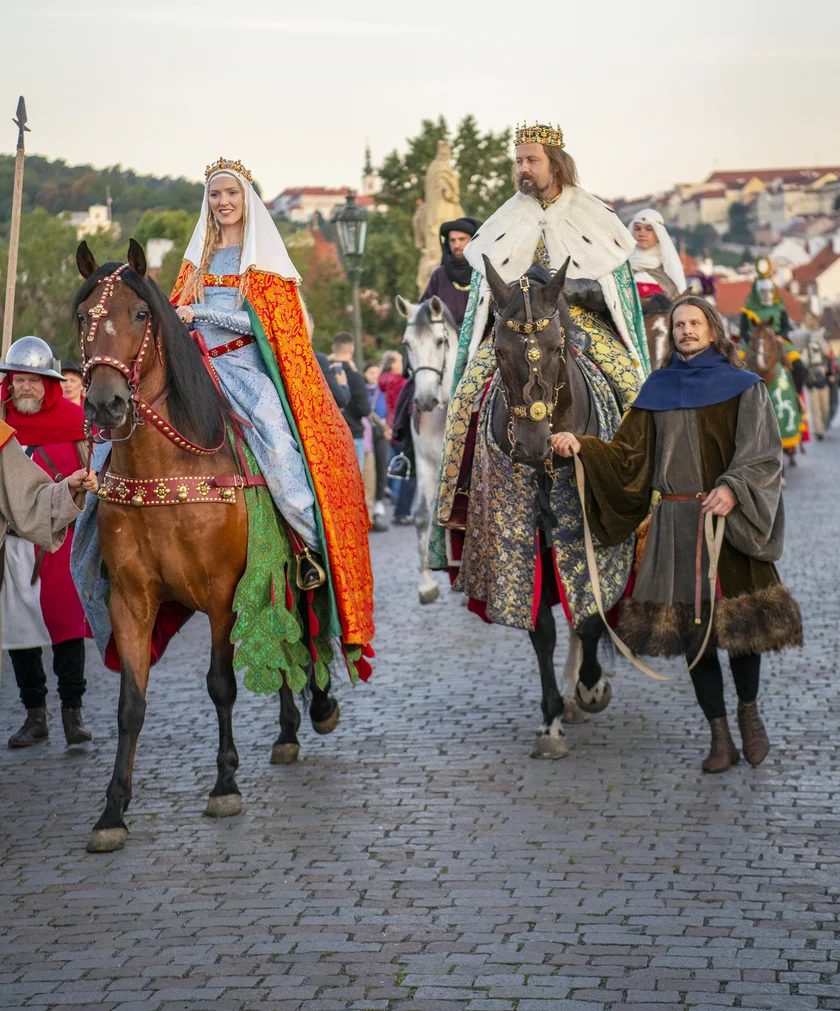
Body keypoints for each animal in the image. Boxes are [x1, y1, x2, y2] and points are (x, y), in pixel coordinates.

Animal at [73, 240, 337, 849]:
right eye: (82, 317)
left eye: (140, 314)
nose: (105, 404)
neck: (168, 469)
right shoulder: (130, 601)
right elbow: (130, 705)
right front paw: (111, 811)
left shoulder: (220, 594)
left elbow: (221, 685)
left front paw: (224, 785)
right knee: (282, 636)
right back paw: (287, 731)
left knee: (309, 624)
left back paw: (320, 707)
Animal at [477, 254, 622, 760]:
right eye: (499, 352)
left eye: (557, 347)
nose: (534, 446)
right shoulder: (526, 535)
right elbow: (542, 628)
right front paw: (551, 719)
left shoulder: (592, 533)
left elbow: (592, 614)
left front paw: (591, 688)